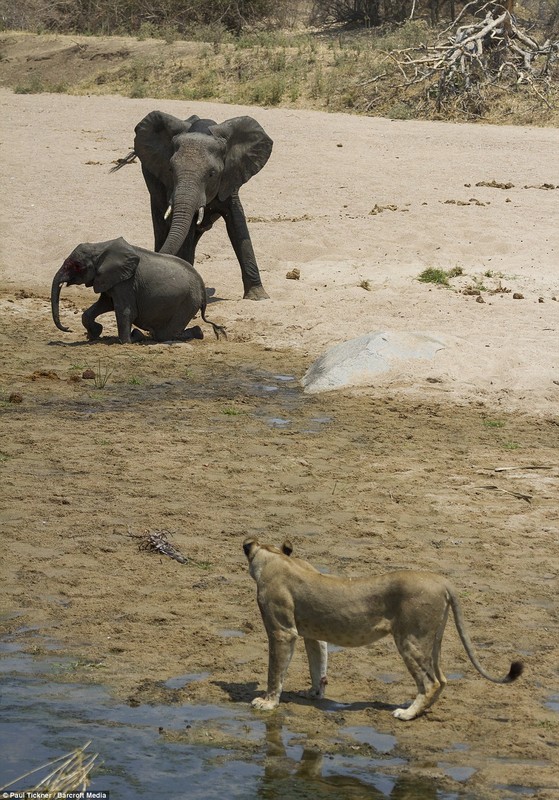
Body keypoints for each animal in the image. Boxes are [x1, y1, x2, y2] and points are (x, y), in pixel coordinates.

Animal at [51, 234, 226, 340]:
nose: (68, 329)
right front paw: (94, 334)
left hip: (187, 302)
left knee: (165, 335)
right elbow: (104, 304)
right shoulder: (111, 280)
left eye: (76, 266)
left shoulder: (126, 282)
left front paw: (125, 341)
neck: (100, 248)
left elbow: (124, 310)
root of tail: (203, 289)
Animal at [111, 110, 274, 300]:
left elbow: (237, 224)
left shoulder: (231, 177)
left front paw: (259, 297)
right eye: (170, 170)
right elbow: (186, 230)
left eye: (212, 173)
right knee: (162, 224)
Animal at [243, 536, 524, 720]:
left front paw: (267, 702)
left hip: (410, 639)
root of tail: (443, 581)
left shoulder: (282, 631)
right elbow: (317, 664)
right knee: (442, 679)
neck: (275, 557)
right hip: (433, 639)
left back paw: (407, 713)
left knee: (430, 681)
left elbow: (275, 670)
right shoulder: (312, 634)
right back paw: (423, 709)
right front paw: (314, 692)